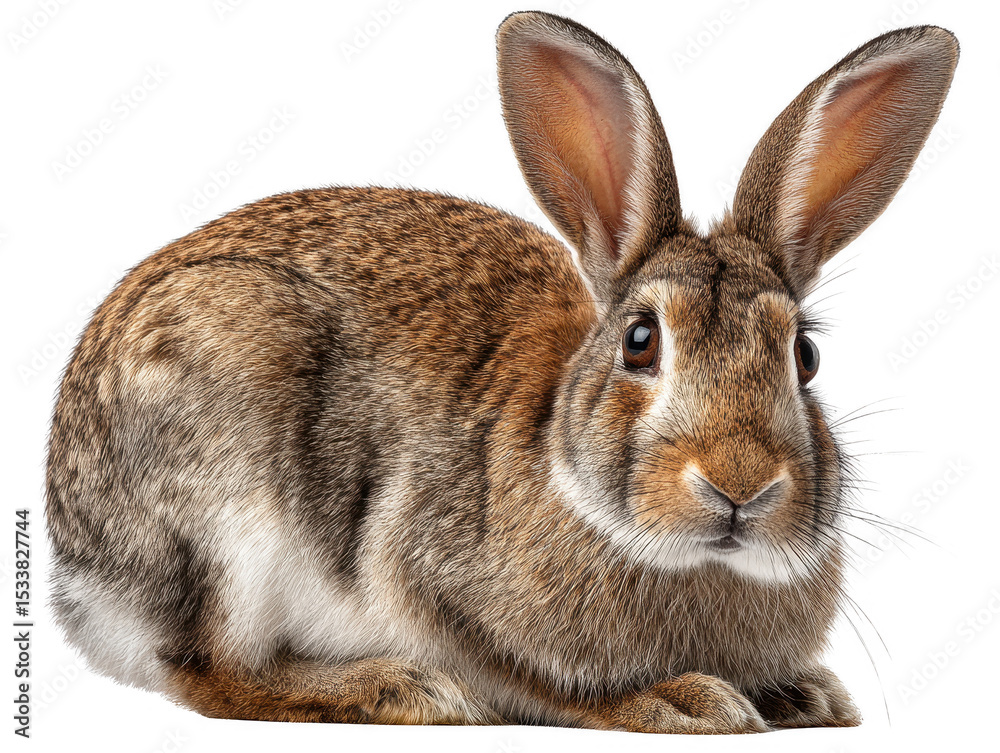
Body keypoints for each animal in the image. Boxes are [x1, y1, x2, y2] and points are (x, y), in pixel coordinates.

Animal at [45, 11, 957, 733]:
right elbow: (541, 680)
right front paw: (683, 701)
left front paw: (809, 696)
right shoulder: (432, 580)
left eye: (805, 355)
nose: (740, 484)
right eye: (640, 340)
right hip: (227, 500)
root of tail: (79, 565)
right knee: (211, 672)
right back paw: (396, 687)